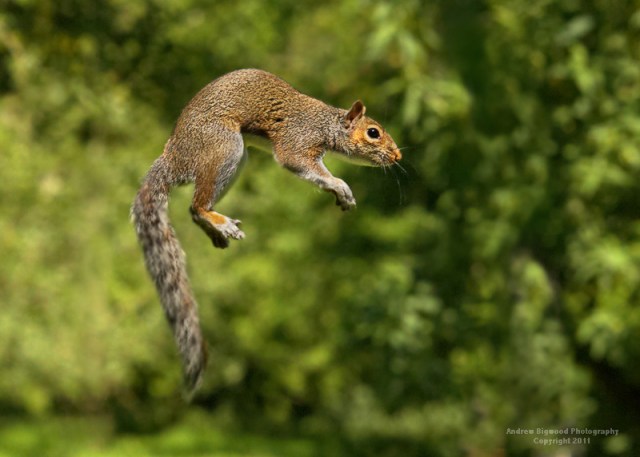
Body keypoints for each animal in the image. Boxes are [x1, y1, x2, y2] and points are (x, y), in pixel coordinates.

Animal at [131, 68, 401, 394]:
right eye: (373, 132)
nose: (398, 156)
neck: (325, 122)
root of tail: (173, 158)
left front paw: (339, 193)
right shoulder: (297, 140)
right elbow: (298, 162)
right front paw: (340, 185)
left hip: (235, 159)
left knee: (193, 212)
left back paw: (215, 231)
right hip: (224, 147)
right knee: (196, 206)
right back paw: (218, 221)